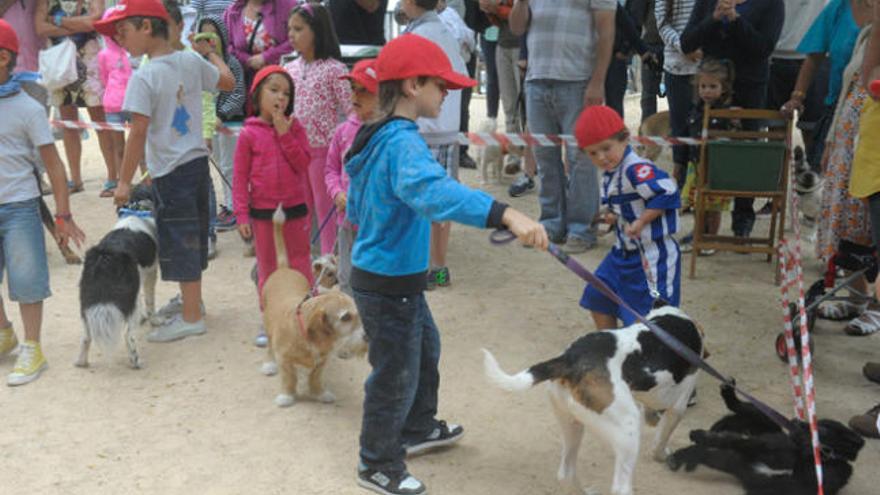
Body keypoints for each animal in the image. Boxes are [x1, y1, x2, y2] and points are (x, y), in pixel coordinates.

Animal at [76, 188, 158, 370]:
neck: (136, 209)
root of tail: (105, 257)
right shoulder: (151, 273)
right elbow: (150, 302)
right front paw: (156, 321)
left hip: (86, 301)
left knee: (86, 335)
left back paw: (81, 362)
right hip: (130, 301)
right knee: (128, 336)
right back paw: (136, 362)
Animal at [668, 384, 868, 495]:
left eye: (823, 428)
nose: (794, 421)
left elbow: (738, 442)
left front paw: (701, 437)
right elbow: (740, 441)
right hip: (766, 424)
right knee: (748, 409)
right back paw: (729, 393)